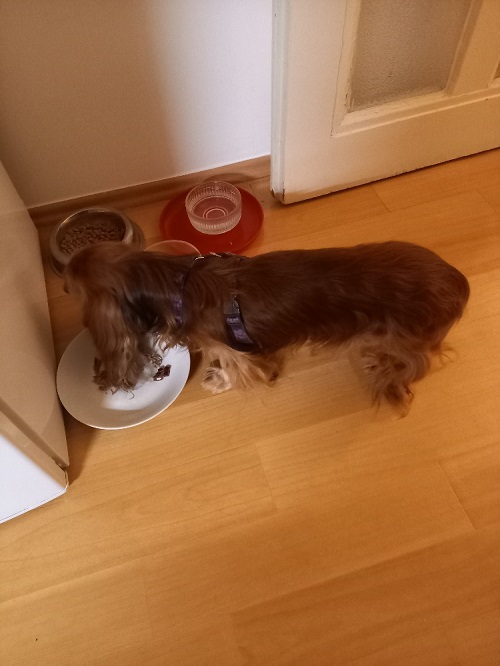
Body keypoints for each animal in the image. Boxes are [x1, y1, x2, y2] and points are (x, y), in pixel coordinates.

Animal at [64, 240, 469, 412]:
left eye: (70, 283)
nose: (62, 281)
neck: (177, 284)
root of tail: (458, 280)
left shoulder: (236, 352)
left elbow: (237, 370)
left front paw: (218, 380)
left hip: (403, 338)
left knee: (415, 363)